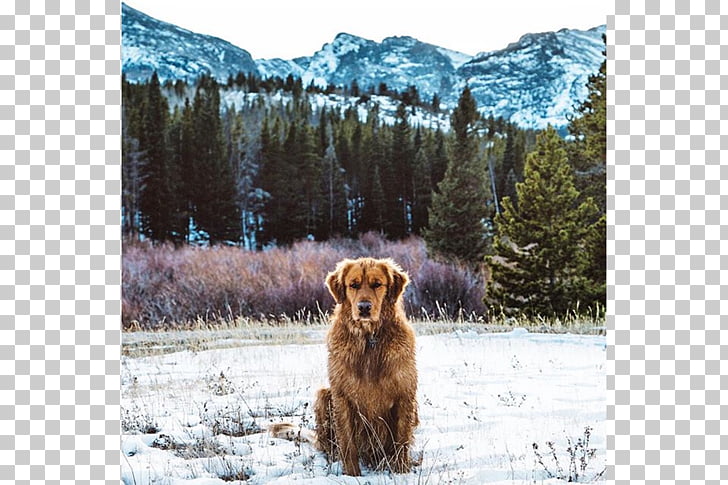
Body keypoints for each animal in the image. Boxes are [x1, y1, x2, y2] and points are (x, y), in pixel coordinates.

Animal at [268, 255, 418, 474]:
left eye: (377, 284)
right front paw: (352, 474)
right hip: (323, 395)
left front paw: (401, 472)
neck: (369, 339)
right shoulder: (341, 395)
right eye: (353, 285)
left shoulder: (405, 394)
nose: (364, 307)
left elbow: (401, 441)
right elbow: (347, 442)